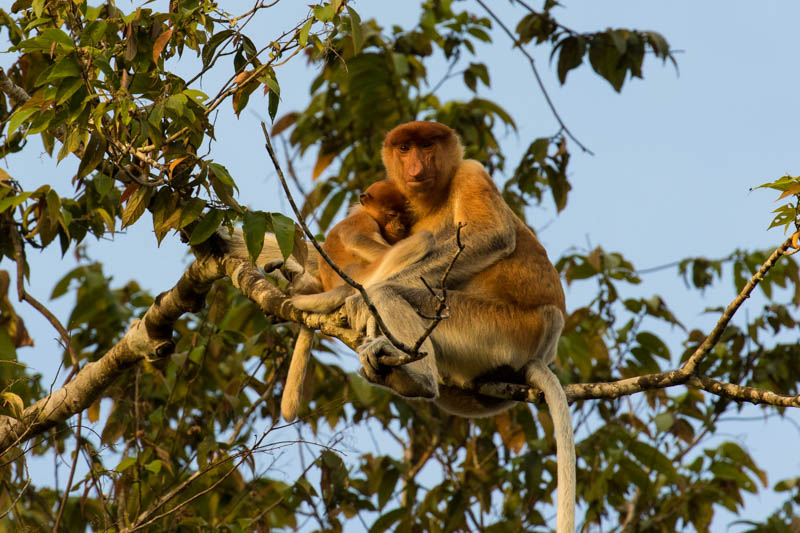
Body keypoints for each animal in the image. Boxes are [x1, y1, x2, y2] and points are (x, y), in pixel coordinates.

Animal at [340, 121, 580, 532]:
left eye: (427, 145)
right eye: (404, 148)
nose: (416, 167)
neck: (432, 201)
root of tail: (541, 350)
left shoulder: (471, 172)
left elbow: (489, 237)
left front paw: (359, 300)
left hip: (497, 328)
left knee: (395, 295)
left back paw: (416, 376)